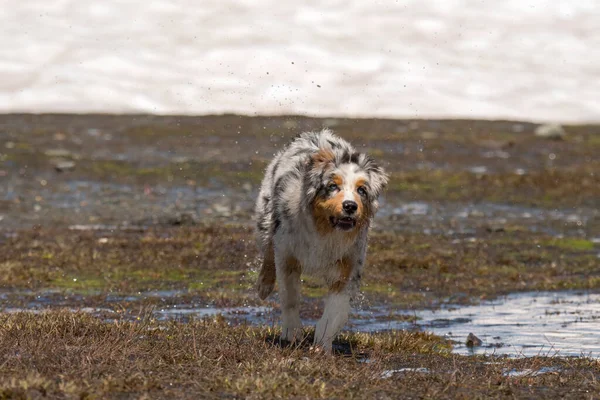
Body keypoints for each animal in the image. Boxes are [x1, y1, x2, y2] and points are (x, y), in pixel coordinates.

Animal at [253, 129, 390, 350]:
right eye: (333, 186)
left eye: (361, 190)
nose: (350, 206)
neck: (325, 231)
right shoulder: (287, 254)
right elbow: (290, 298)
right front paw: (292, 333)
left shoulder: (349, 265)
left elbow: (336, 311)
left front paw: (321, 345)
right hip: (266, 218)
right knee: (268, 250)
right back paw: (263, 286)